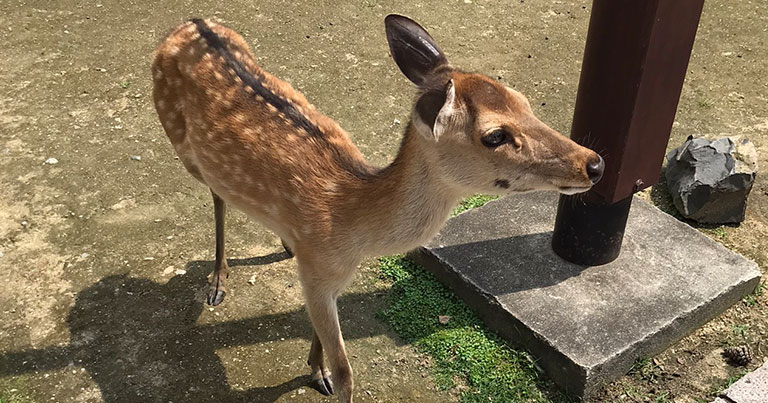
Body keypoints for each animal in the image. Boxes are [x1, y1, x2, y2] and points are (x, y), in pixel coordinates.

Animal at [152, 14, 608, 402]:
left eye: (525, 102)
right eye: (494, 135)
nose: (594, 163)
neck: (352, 222)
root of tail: (190, 21)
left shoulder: (324, 275)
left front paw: (315, 370)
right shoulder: (318, 271)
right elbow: (347, 372)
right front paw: (327, 375)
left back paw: (282, 242)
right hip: (181, 144)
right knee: (216, 194)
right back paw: (217, 282)